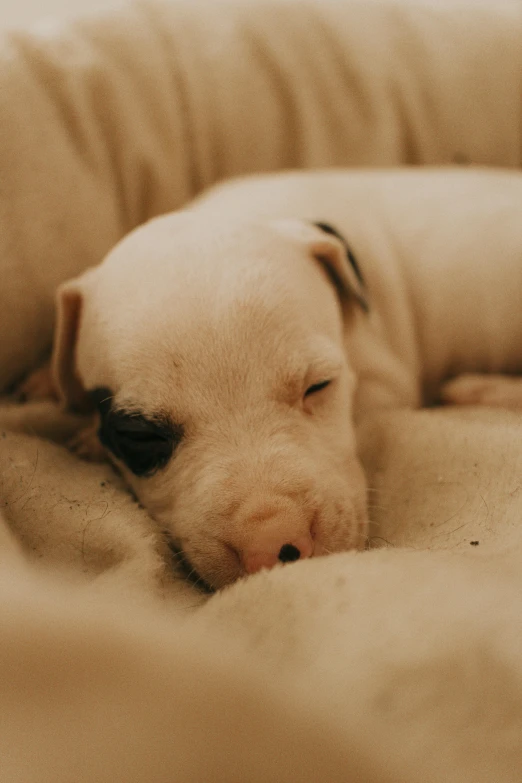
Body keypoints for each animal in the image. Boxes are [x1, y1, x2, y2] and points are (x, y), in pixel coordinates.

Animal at [22, 170, 520, 588]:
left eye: (320, 385)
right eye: (140, 437)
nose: (276, 545)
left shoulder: (384, 381)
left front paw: (86, 434)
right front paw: (49, 382)